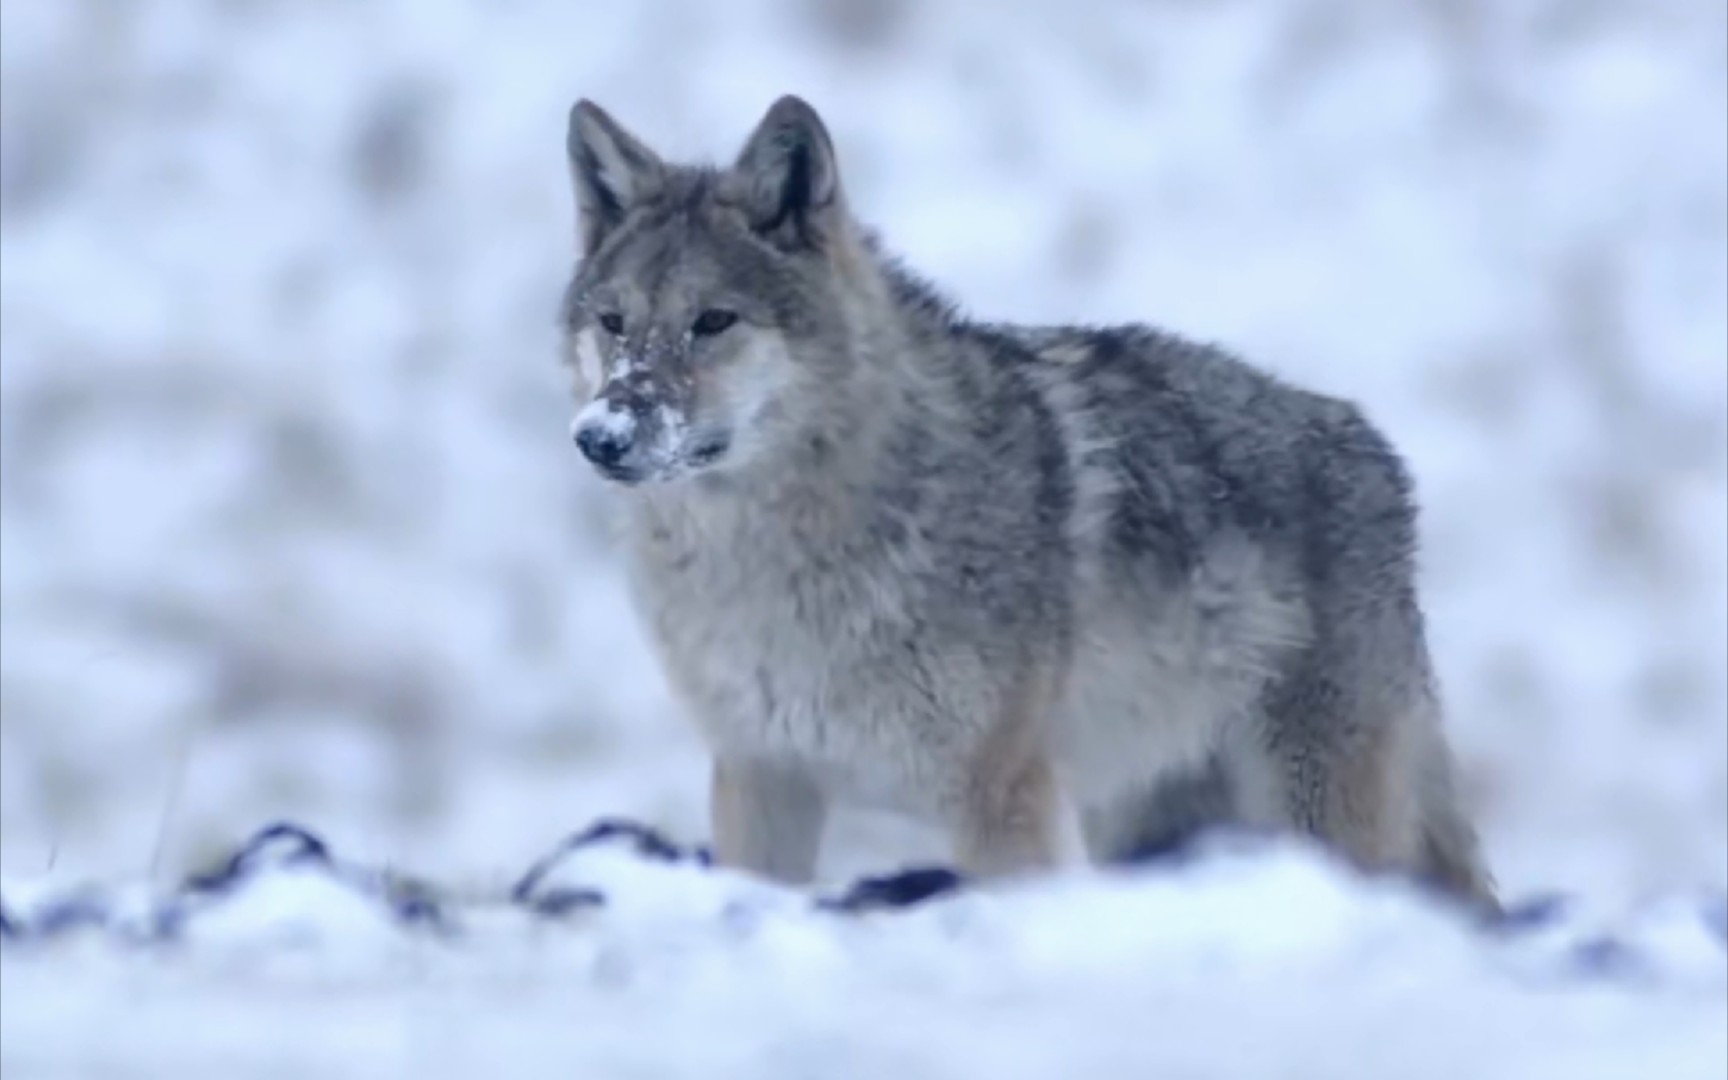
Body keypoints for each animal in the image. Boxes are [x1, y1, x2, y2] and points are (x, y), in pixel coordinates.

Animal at [556, 94, 1499, 912]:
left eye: (714, 322)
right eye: (614, 323)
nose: (600, 437)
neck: (772, 566)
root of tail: (1371, 446)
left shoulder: (996, 795)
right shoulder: (760, 775)